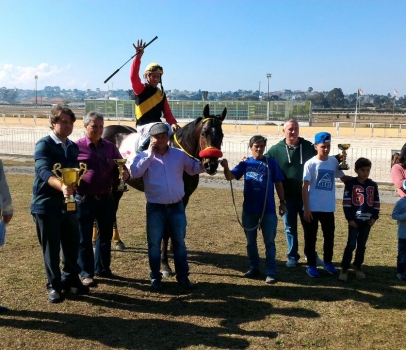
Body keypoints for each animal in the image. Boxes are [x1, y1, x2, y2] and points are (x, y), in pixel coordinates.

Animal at [101, 104, 227, 276]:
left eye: (221, 135)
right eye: (204, 133)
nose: (211, 165)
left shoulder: (184, 197)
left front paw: (175, 248)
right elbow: (166, 232)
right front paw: (165, 265)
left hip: (119, 186)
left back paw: (118, 241)